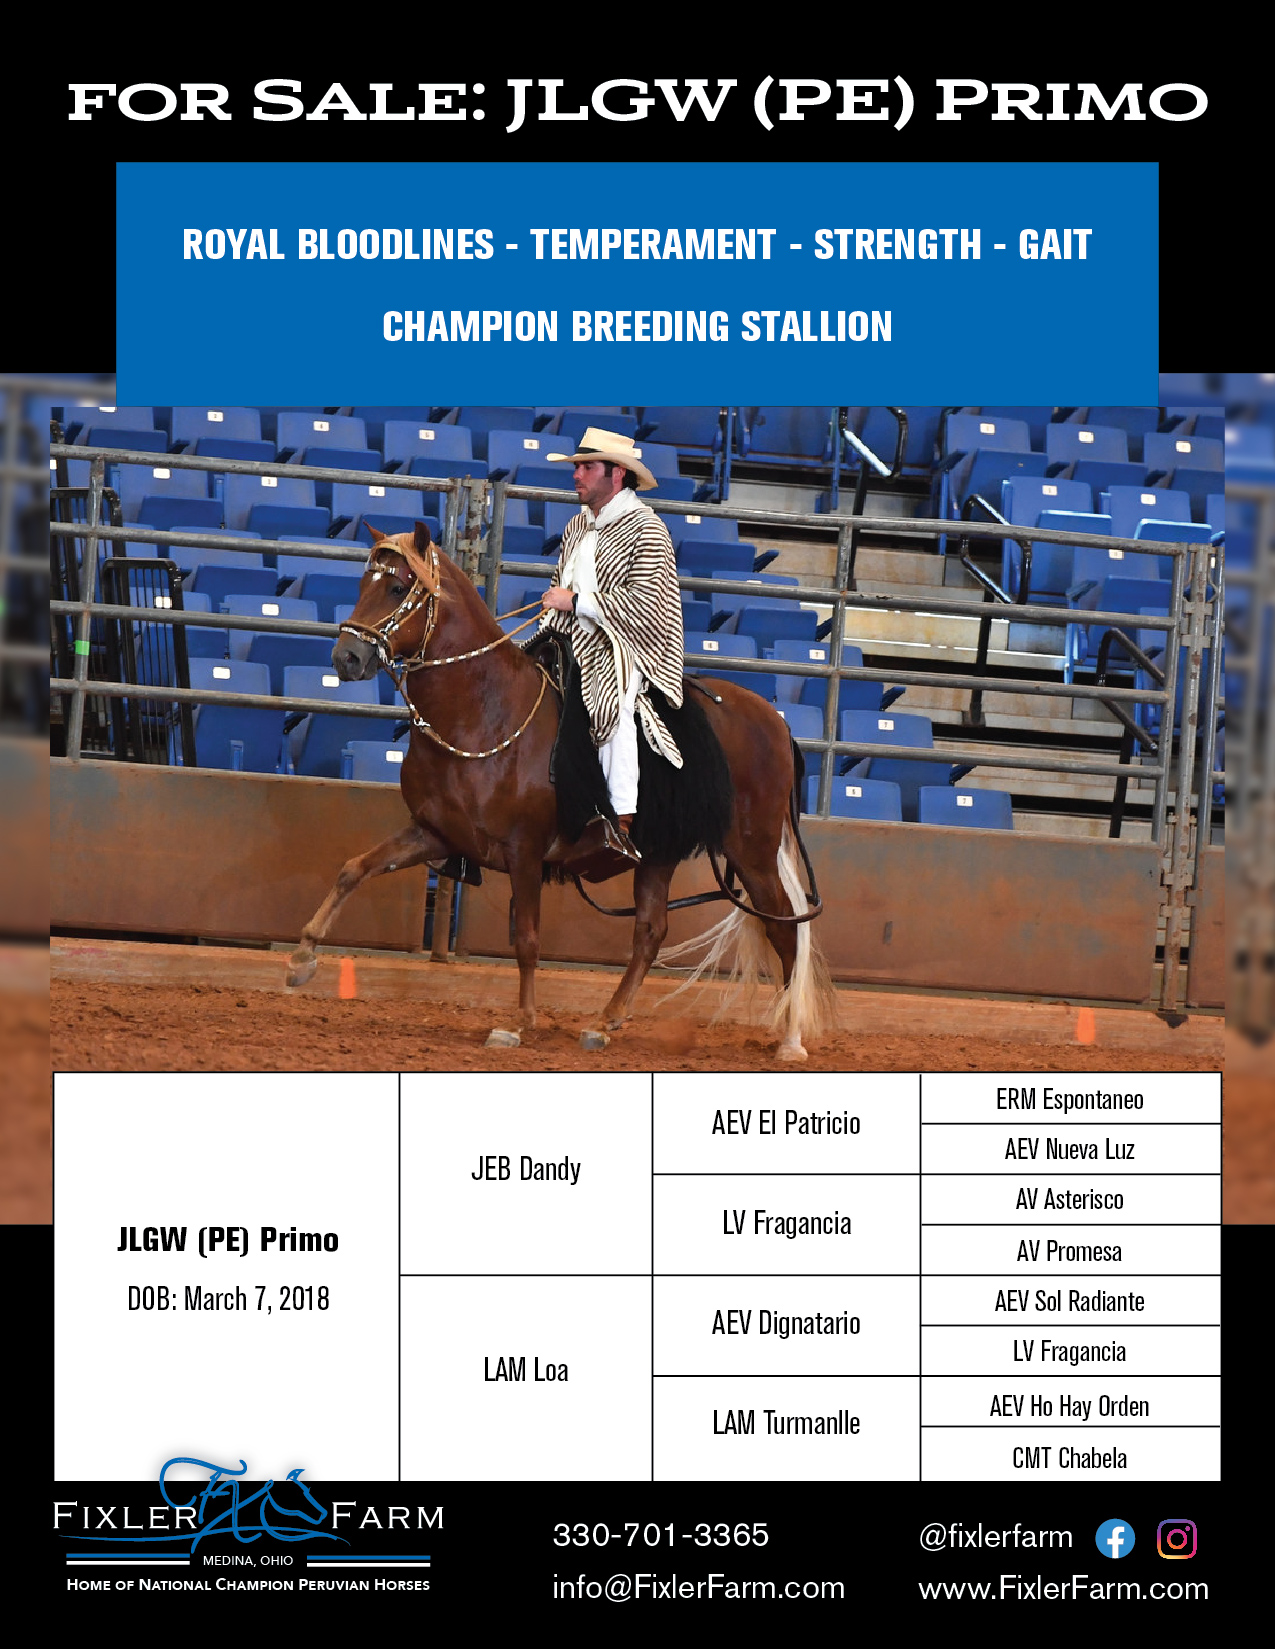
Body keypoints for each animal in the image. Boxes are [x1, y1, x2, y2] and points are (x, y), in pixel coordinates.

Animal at [286, 523, 836, 1060]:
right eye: (365, 582)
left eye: (398, 587)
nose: (347, 656)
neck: (484, 711)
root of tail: (776, 722)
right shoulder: (434, 833)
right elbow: (355, 868)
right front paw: (302, 957)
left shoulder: (524, 851)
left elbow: (527, 938)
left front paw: (518, 1023)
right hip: (659, 855)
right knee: (651, 931)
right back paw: (606, 1022)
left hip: (752, 851)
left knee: (785, 928)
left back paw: (790, 1038)